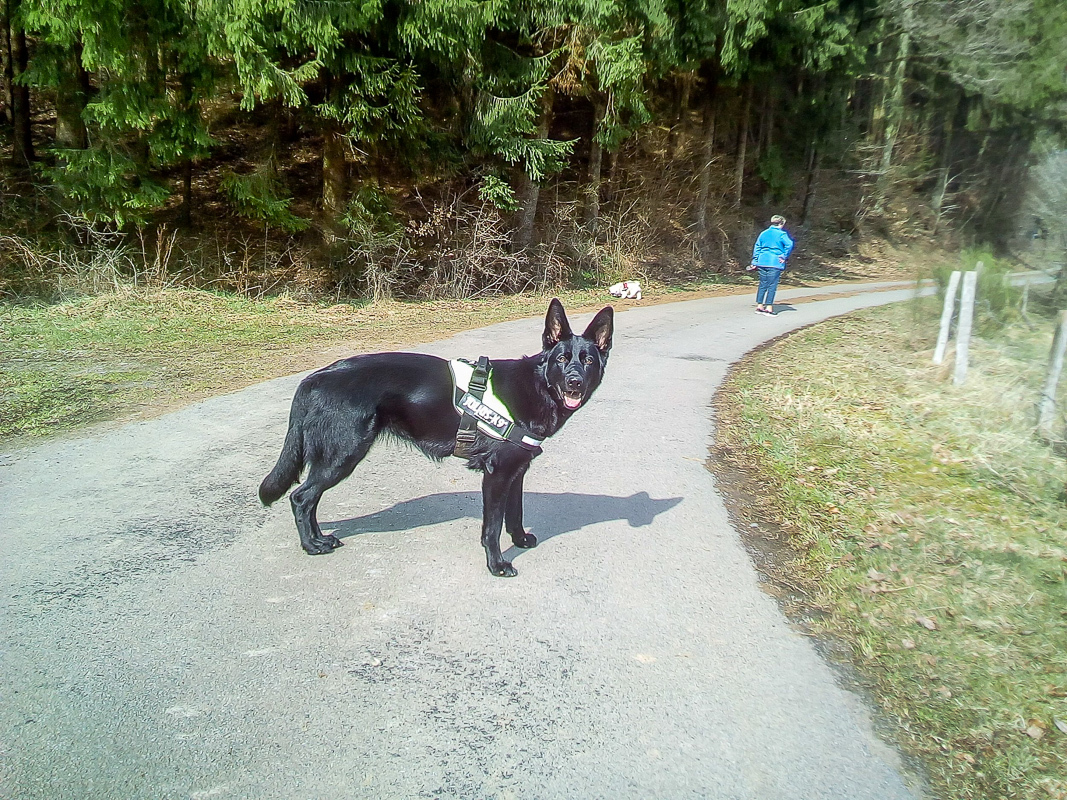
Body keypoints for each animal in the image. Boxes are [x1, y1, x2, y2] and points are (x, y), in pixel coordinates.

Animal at [258, 298, 614, 580]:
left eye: (588, 361)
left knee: (309, 499)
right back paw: (311, 545)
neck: (537, 386)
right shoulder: (497, 475)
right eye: (561, 359)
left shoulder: (516, 471)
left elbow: (515, 513)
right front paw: (497, 564)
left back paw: (319, 538)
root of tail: (314, 378)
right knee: (301, 498)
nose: (574, 383)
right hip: (343, 456)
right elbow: (492, 527)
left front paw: (520, 539)